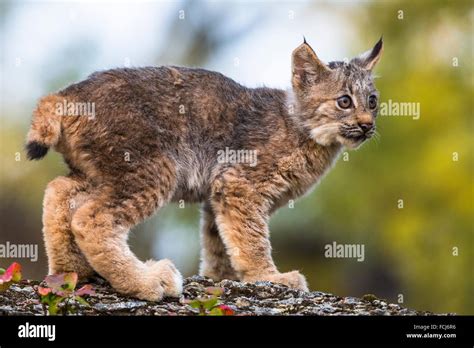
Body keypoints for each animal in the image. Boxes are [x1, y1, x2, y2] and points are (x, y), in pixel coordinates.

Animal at [25, 37, 382, 300]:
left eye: (373, 101)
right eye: (344, 101)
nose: (367, 126)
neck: (310, 133)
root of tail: (69, 91)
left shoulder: (220, 191)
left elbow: (220, 242)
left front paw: (220, 278)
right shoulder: (240, 183)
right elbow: (252, 238)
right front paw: (269, 276)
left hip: (101, 171)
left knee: (59, 190)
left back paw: (70, 272)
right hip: (155, 168)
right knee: (90, 218)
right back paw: (147, 281)